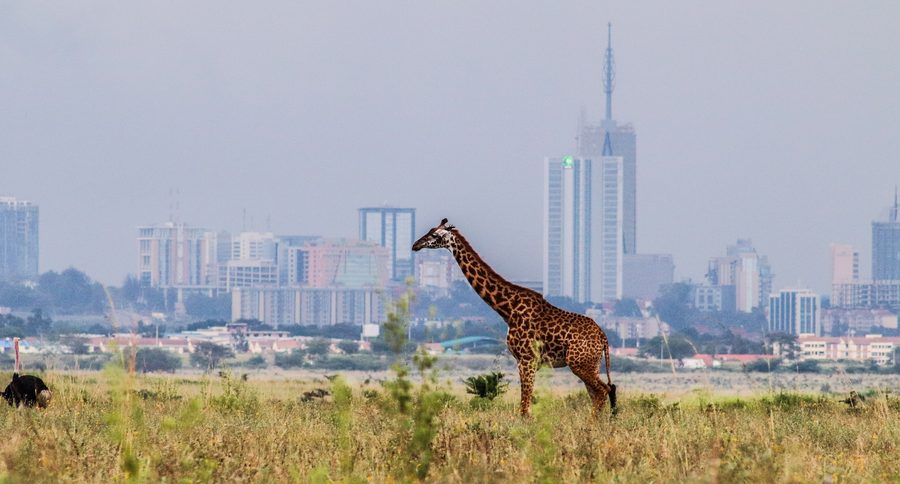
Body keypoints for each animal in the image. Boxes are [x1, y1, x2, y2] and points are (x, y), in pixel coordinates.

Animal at [413, 218, 616, 417]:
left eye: (435, 235)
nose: (415, 245)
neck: (507, 310)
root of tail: (603, 337)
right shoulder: (524, 360)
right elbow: (526, 407)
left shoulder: (527, 359)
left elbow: (524, 409)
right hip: (590, 364)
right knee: (600, 393)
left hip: (579, 363)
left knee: (603, 390)